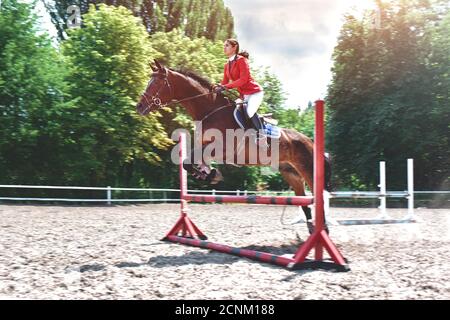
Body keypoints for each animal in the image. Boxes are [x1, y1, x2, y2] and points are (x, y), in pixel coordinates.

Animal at [134, 59, 330, 232]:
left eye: (157, 83)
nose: (139, 106)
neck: (209, 110)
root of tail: (310, 141)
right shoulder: (205, 146)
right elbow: (189, 162)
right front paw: (210, 174)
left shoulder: (223, 149)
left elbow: (190, 162)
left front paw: (211, 175)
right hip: (291, 174)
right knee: (305, 202)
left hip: (308, 170)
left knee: (319, 196)